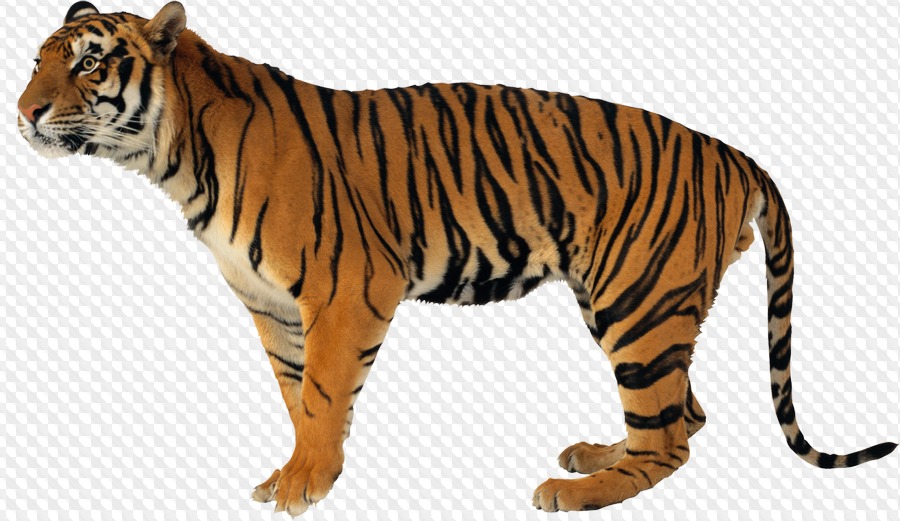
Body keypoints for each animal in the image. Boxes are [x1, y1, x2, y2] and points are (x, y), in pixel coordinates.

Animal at [16, 1, 897, 516]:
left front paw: (306, 482)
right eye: (37, 61)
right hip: (636, 302)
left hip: (638, 301)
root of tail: (733, 151)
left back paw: (576, 488)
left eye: (89, 62)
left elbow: (324, 393)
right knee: (685, 411)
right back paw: (594, 453)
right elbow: (295, 394)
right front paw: (296, 469)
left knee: (670, 437)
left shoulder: (346, 289)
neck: (174, 156)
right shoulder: (271, 307)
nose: (22, 112)